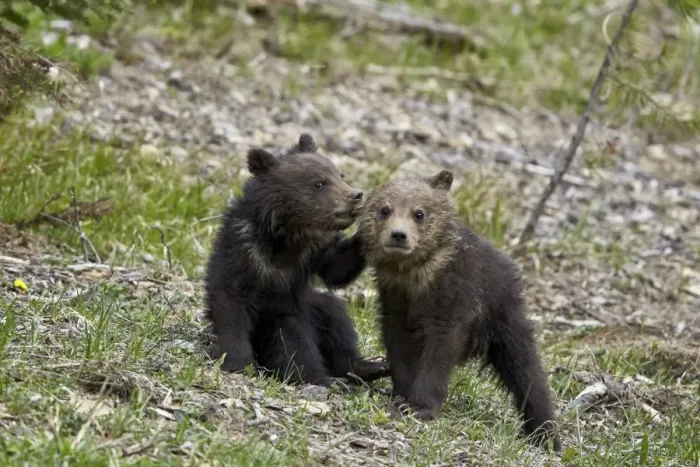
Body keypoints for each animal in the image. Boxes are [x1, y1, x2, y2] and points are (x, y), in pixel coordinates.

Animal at [204, 134, 389, 387]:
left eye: (340, 175)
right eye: (318, 183)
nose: (356, 195)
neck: (288, 239)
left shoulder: (314, 252)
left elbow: (337, 269)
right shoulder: (245, 254)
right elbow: (230, 303)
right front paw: (239, 362)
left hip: (313, 306)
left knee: (335, 317)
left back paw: (368, 367)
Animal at [355, 169, 561, 451]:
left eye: (419, 213)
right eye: (384, 209)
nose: (398, 235)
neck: (415, 276)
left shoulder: (454, 298)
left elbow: (440, 352)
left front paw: (420, 406)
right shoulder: (396, 302)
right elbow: (399, 347)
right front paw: (400, 395)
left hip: (503, 315)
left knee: (525, 369)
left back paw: (546, 433)